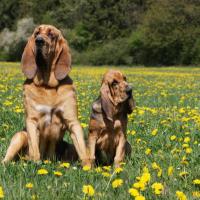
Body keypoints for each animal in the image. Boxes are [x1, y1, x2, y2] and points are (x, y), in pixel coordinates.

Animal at [2, 24, 89, 166]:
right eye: (36, 33)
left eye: (51, 34)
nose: (39, 41)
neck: (48, 86)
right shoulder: (32, 121)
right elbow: (35, 150)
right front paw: (36, 164)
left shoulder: (73, 122)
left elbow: (83, 150)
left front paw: (89, 168)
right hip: (20, 136)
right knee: (7, 158)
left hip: (69, 147)